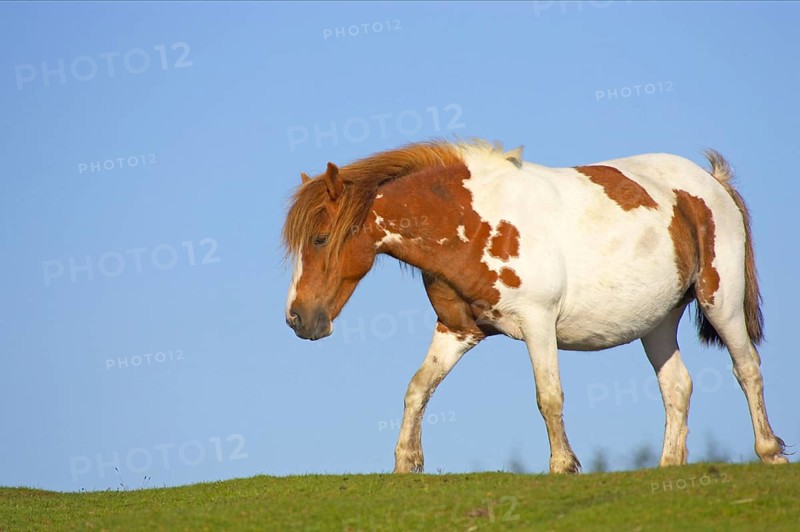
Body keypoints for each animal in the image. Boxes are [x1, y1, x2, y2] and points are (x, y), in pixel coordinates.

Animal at [281, 139, 787, 474]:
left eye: (320, 238)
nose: (297, 319)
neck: (476, 221)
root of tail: (712, 183)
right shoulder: (456, 329)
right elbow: (417, 388)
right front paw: (407, 463)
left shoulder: (538, 322)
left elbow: (549, 396)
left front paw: (563, 465)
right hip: (657, 322)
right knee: (677, 387)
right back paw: (669, 466)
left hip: (720, 300)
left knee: (747, 367)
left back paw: (769, 451)